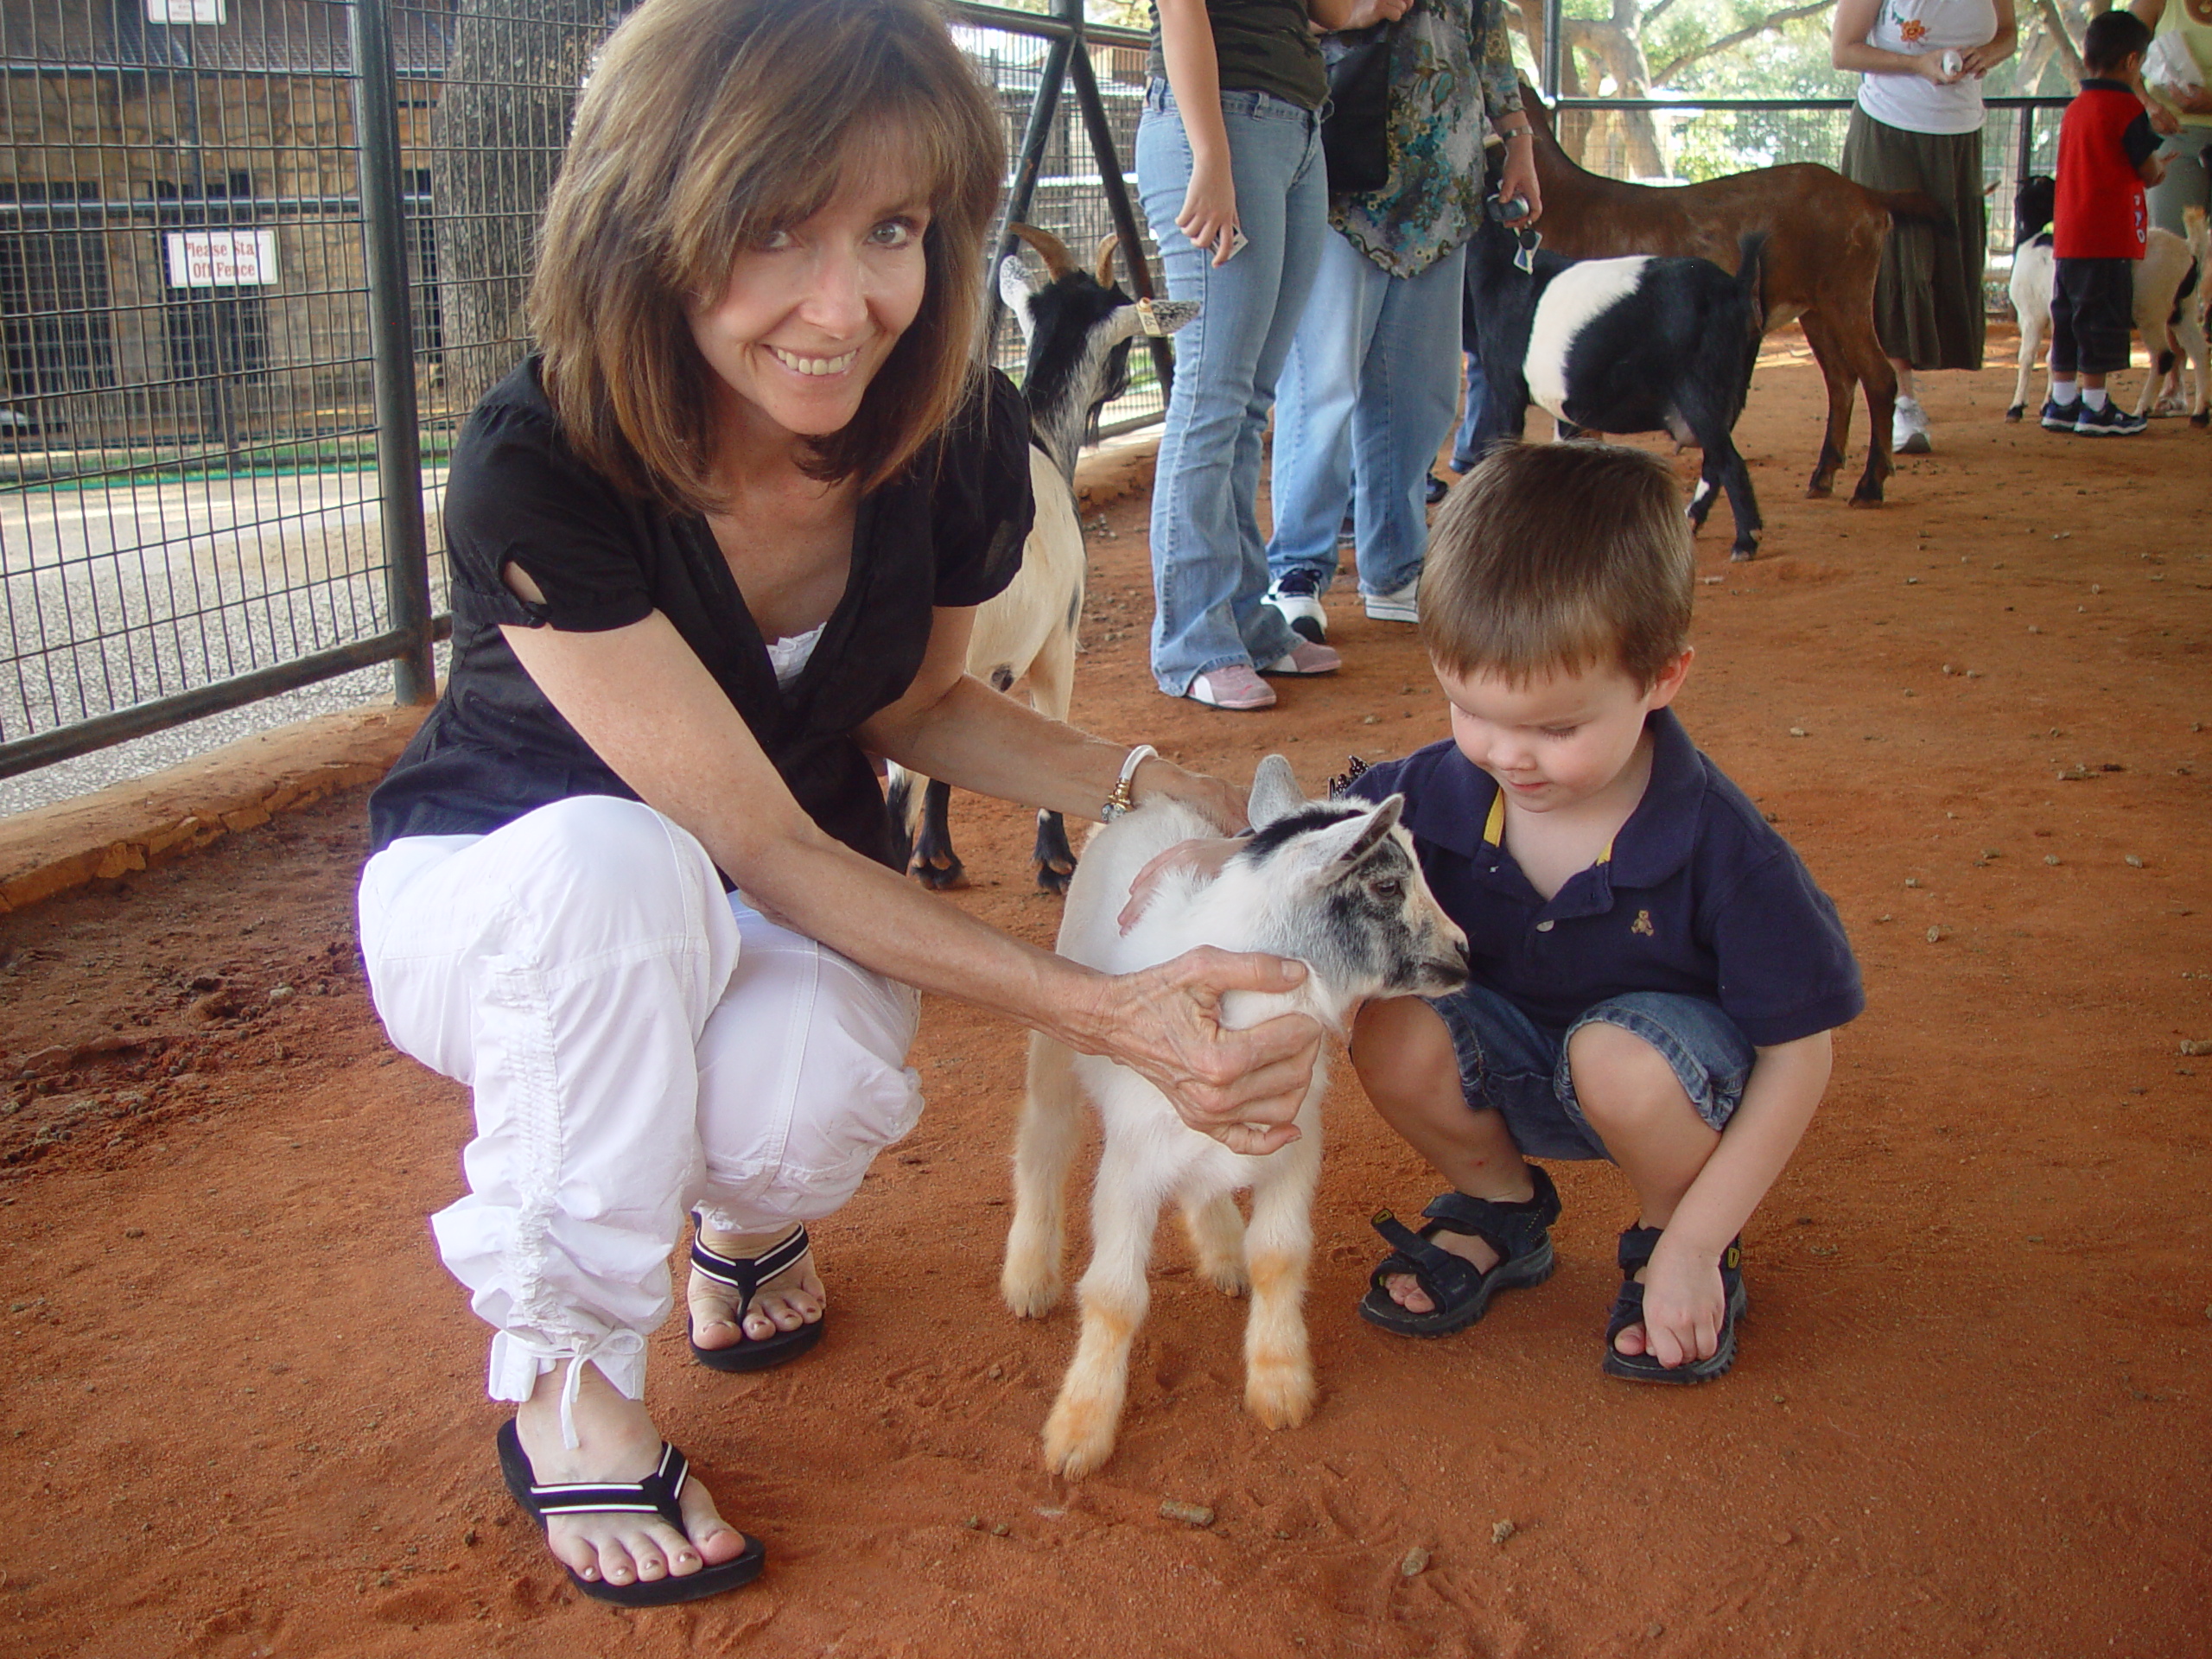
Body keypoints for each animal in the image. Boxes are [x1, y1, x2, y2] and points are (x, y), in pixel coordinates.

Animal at [1004, 756, 1468, 1478]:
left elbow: (1280, 1255)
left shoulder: (1293, 1145)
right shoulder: (1130, 1168)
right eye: (1388, 884)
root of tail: (1144, 808)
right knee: (1045, 1139)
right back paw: (1029, 1277)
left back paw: (1223, 1251)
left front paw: (1281, 1385)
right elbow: (1113, 1297)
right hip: (1060, 1038)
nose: (1465, 950)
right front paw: (1080, 1432)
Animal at [1522, 89, 1937, 506]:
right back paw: (1823, 475)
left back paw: (1870, 484)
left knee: (1877, 376)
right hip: (1814, 307)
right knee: (1840, 379)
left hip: (1846, 291)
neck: (1563, 201)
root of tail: (1864, 195)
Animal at [2008, 176, 2212, 429]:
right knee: (2200, 352)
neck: (2031, 241)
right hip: (2182, 309)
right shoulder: (2058, 318)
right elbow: (2054, 358)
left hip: (2151, 312)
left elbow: (2027, 357)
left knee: (2164, 356)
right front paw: (2048, 405)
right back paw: (2200, 414)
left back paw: (2142, 409)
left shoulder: (2031, 314)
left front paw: (2016, 408)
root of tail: (2188, 250)